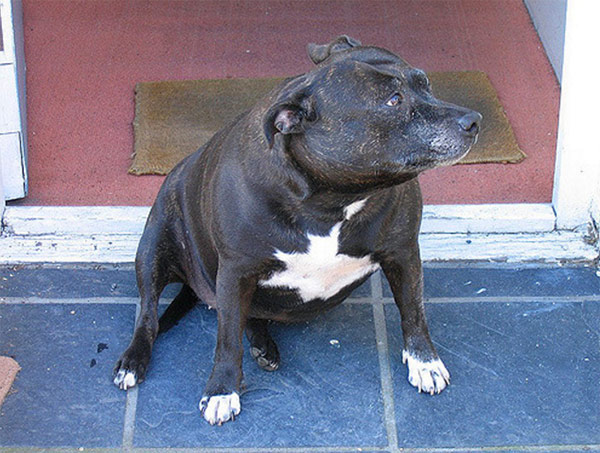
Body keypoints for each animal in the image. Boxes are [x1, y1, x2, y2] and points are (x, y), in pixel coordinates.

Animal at [115, 35, 480, 424]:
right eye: (393, 100)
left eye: (425, 83)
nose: (474, 119)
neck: (332, 200)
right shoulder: (235, 270)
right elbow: (226, 338)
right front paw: (221, 389)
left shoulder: (404, 252)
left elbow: (413, 310)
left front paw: (425, 362)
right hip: (152, 248)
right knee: (150, 315)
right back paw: (134, 360)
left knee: (248, 315)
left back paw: (262, 344)